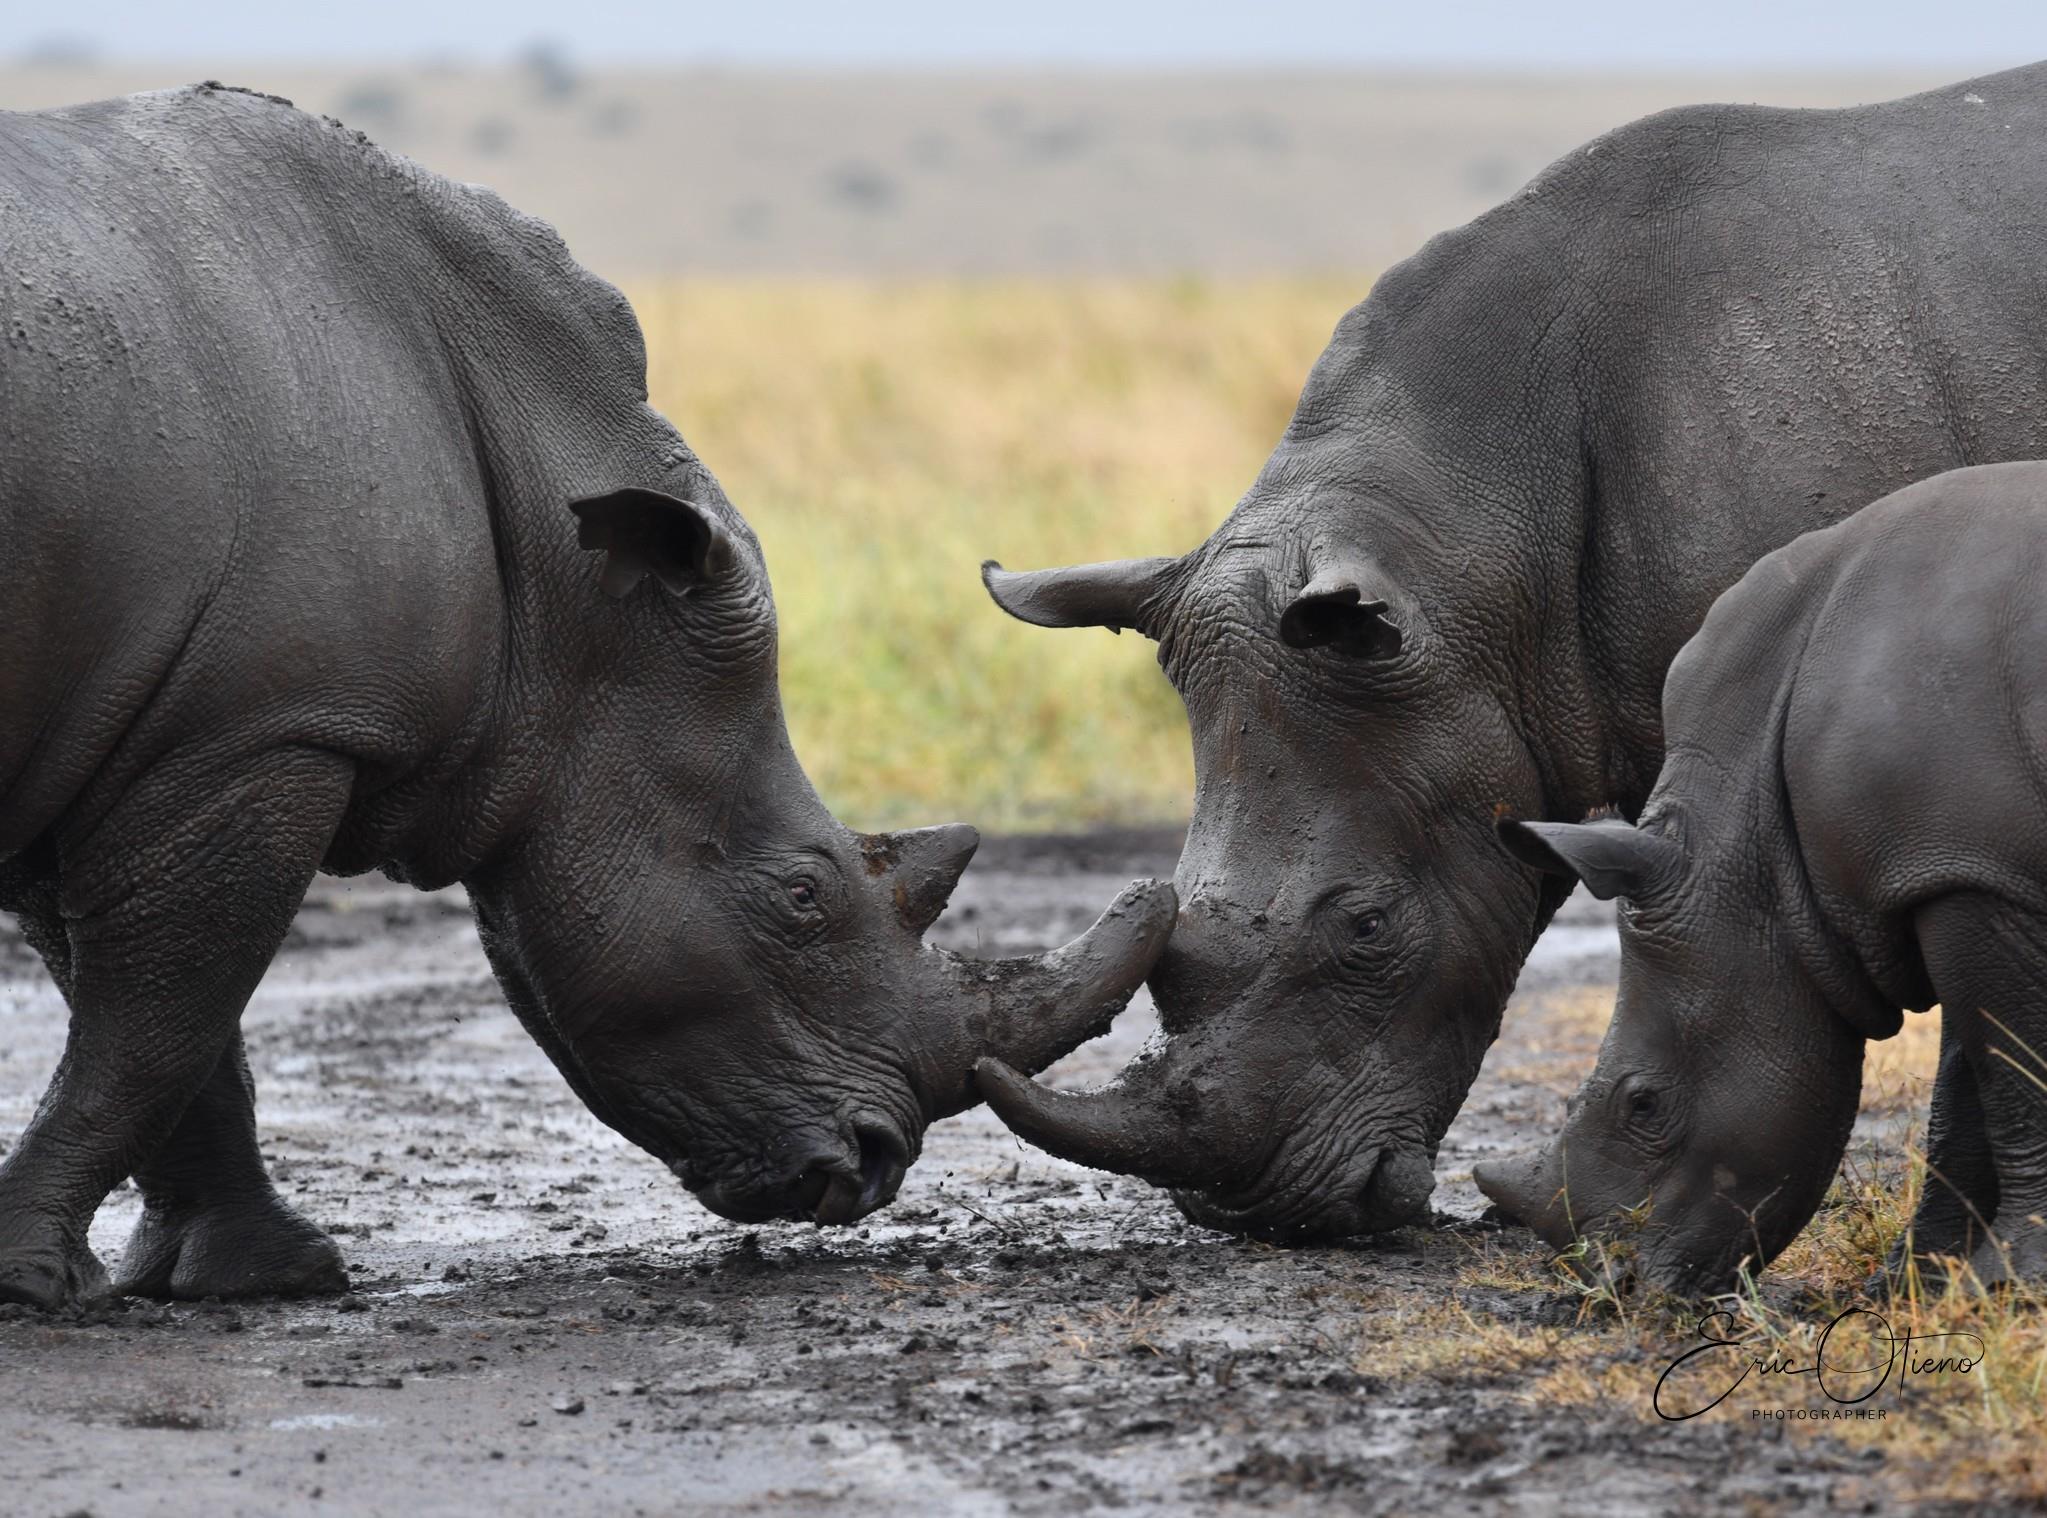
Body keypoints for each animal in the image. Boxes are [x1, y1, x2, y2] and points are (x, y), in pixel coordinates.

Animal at [0, 85, 1172, 1310]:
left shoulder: (118, 729)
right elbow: (158, 1017)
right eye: (803, 898)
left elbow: (159, 1020)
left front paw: (257, 1279)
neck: (558, 573)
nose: (870, 1164)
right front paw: (37, 1287)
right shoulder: (261, 732)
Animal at [1478, 463, 2047, 1294]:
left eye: (1642, 1105)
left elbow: (2013, 1075)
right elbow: (1967, 1084)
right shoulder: (1952, 868)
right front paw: (1917, 1285)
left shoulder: (1977, 873)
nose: (1617, 1289)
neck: (1749, 843)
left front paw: (2011, 1278)